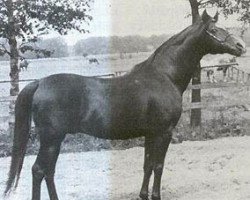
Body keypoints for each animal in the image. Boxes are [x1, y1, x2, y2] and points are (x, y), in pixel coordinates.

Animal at [4, 10, 246, 200]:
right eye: (214, 30)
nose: (240, 46)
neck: (164, 76)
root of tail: (40, 82)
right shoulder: (164, 132)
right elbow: (159, 166)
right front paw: (156, 196)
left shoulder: (151, 133)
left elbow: (147, 165)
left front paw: (143, 195)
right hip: (51, 138)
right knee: (39, 170)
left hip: (55, 139)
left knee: (48, 171)